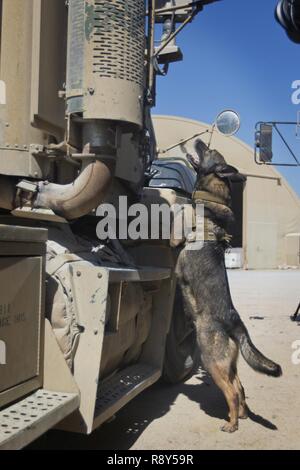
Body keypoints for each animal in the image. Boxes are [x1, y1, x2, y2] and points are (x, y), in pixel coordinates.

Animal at [175, 140, 282, 434]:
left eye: (209, 151)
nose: (201, 141)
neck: (211, 199)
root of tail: (236, 323)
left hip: (212, 360)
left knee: (233, 392)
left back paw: (231, 424)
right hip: (227, 364)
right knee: (240, 388)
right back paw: (241, 416)